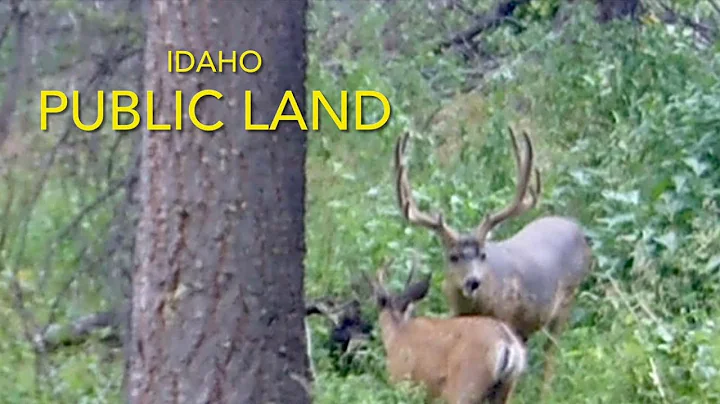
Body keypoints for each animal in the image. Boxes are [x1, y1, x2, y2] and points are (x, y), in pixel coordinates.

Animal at [393, 128, 593, 398]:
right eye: (453, 256)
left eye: (483, 255)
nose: (473, 282)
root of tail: (579, 231)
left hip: (566, 302)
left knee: (551, 355)